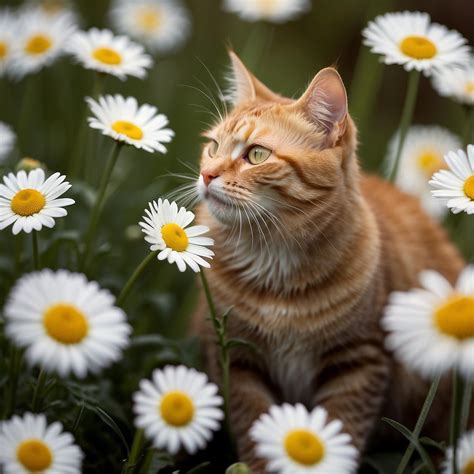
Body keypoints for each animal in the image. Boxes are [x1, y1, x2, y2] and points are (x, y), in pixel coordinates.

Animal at [191, 52, 464, 470]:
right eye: (213, 146)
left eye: (256, 154)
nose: (207, 174)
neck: (273, 262)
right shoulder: (238, 360)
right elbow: (254, 428)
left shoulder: (358, 362)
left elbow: (342, 431)